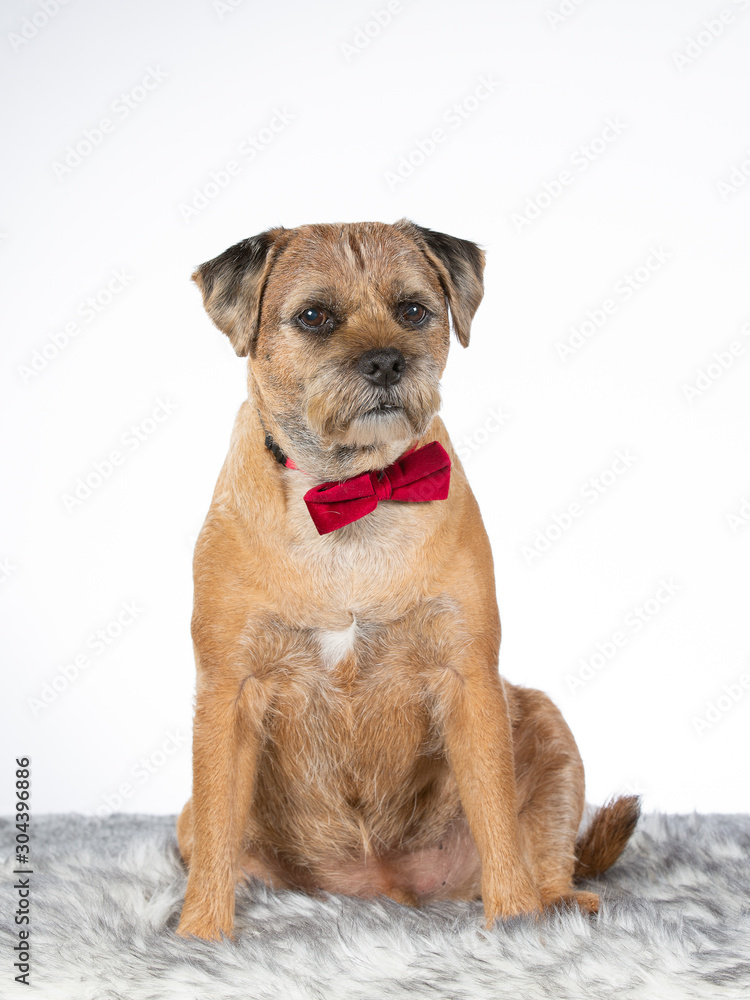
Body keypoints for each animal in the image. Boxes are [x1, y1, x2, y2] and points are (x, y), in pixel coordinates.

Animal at [176, 221, 640, 944]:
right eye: (314, 316)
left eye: (415, 311)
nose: (388, 362)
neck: (352, 493)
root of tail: (380, 887)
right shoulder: (229, 693)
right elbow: (220, 826)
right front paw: (200, 937)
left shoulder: (468, 679)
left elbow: (497, 818)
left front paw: (514, 924)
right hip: (186, 821)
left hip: (547, 724)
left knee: (546, 850)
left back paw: (558, 905)